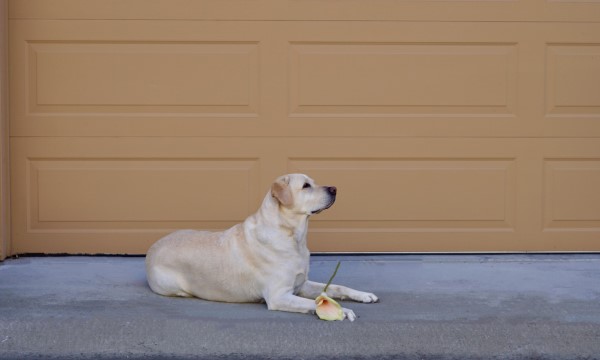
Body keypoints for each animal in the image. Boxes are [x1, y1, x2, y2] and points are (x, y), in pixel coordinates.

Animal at [146, 174, 378, 320]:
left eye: (314, 182)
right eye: (306, 186)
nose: (335, 188)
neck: (293, 237)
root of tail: (150, 249)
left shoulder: (301, 284)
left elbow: (337, 287)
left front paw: (363, 294)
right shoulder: (279, 295)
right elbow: (315, 303)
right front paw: (343, 311)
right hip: (171, 284)